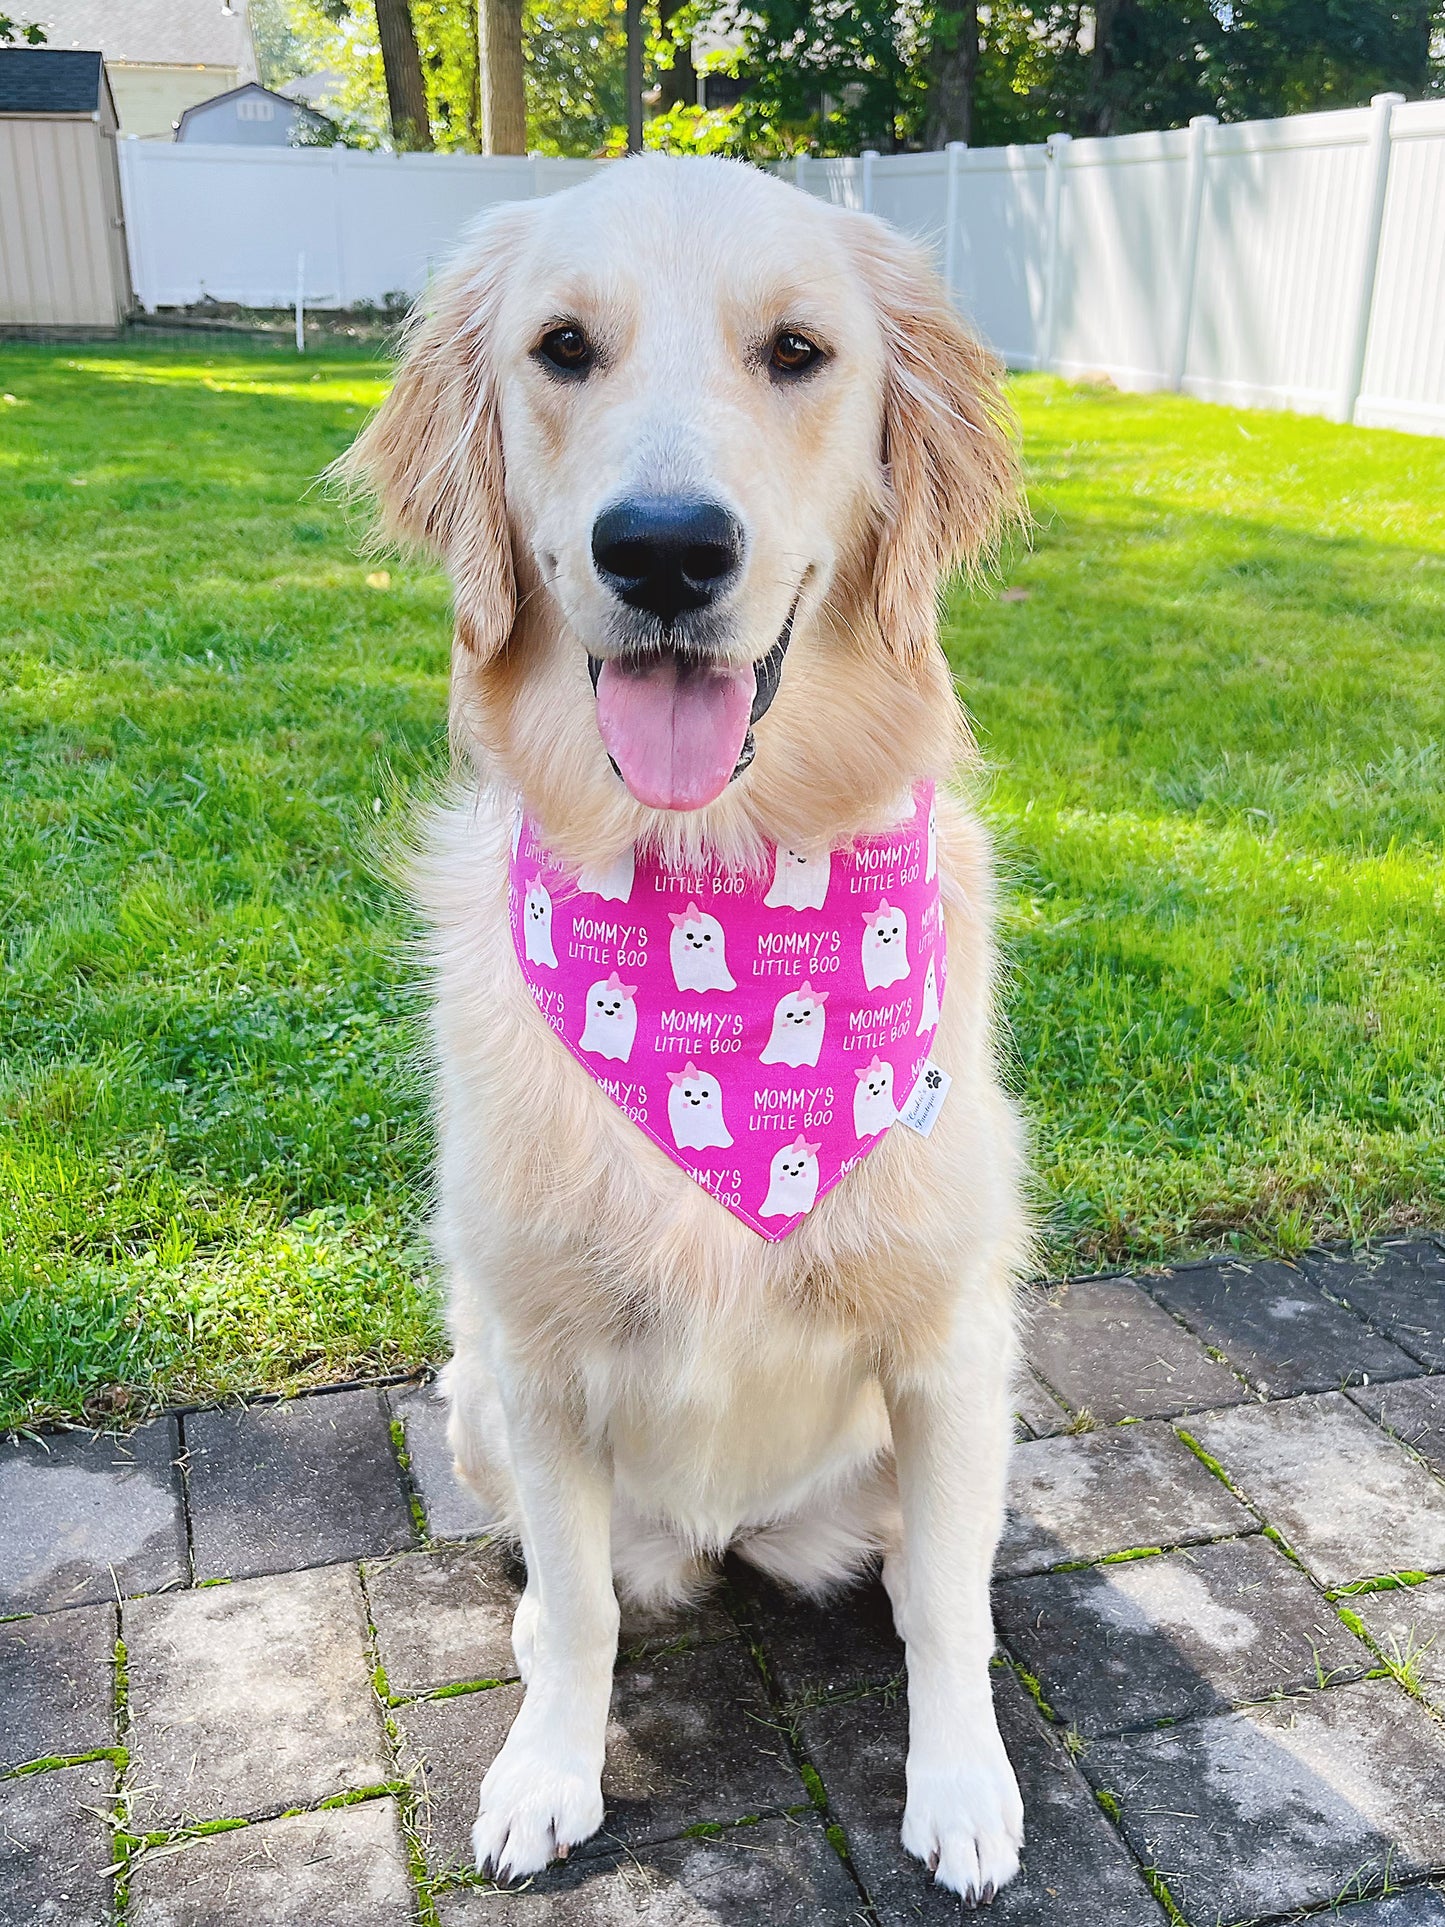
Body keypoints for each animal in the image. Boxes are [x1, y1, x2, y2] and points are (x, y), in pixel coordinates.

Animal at [342, 146, 1032, 1896]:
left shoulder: (949, 1340)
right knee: (561, 1576)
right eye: (562, 348)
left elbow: (948, 1602)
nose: (663, 550)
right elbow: (582, 1606)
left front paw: (963, 1785)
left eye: (797, 351)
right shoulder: (537, 1352)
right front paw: (547, 1770)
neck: (718, 866)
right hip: (471, 1394)